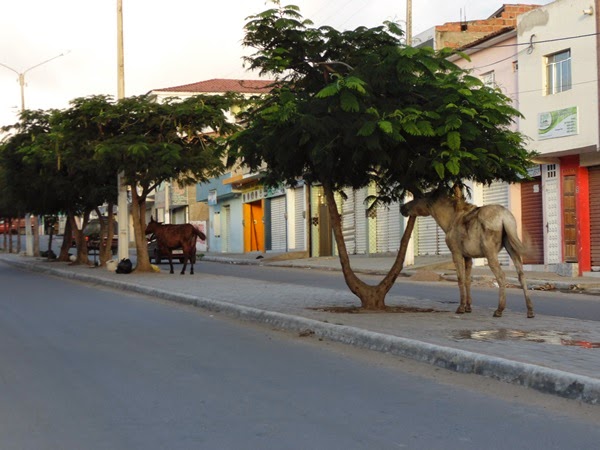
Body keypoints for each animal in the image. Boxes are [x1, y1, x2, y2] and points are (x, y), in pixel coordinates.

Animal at [404, 188, 536, 318]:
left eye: (420, 197)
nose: (403, 208)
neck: (448, 221)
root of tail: (505, 218)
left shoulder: (456, 253)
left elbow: (460, 279)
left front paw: (461, 307)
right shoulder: (468, 256)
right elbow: (468, 280)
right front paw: (468, 307)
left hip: (490, 252)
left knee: (501, 276)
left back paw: (499, 310)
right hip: (511, 248)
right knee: (521, 275)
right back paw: (530, 310)